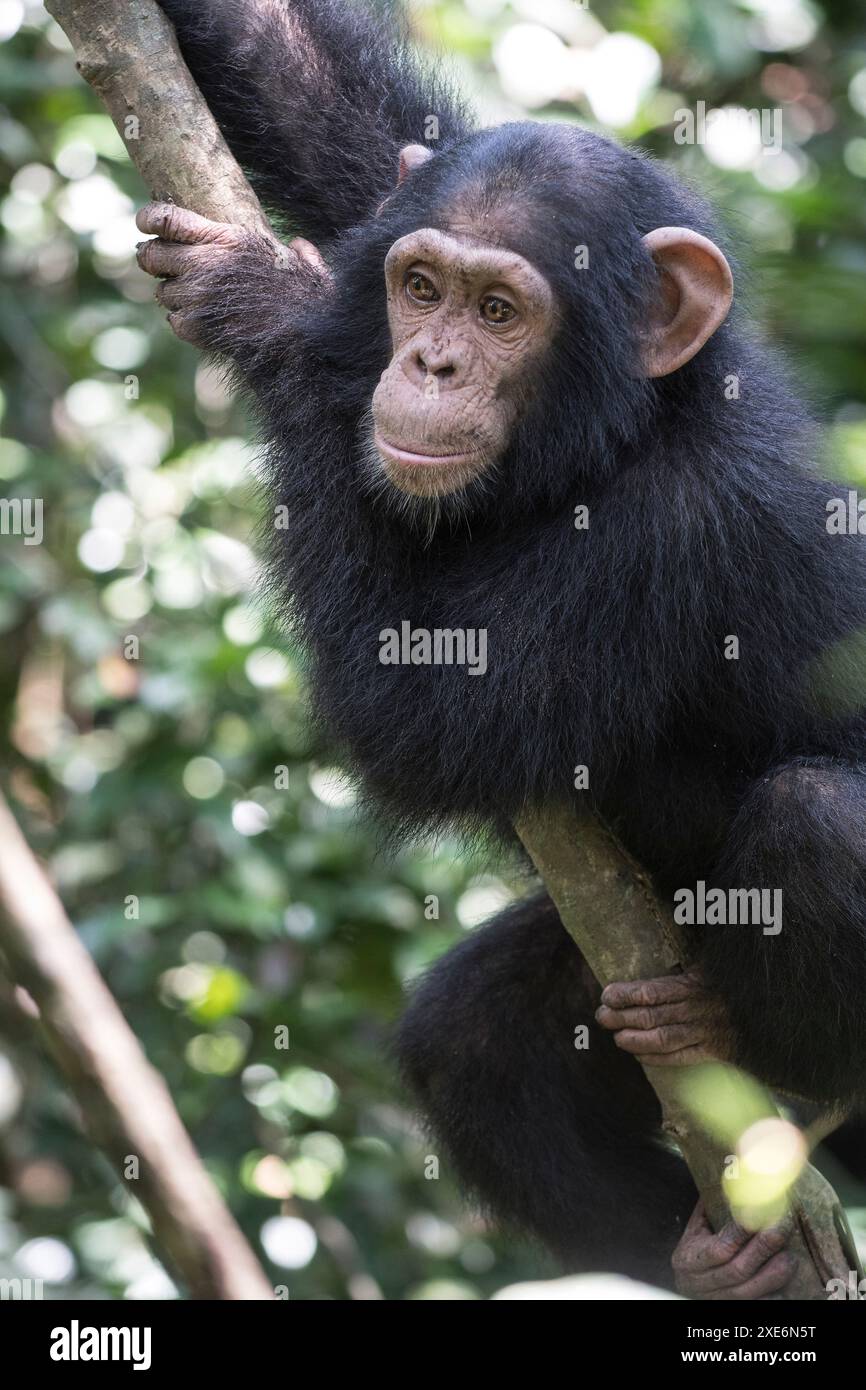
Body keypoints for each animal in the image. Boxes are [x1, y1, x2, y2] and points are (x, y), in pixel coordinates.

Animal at [139, 2, 866, 1301]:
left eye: (496, 313)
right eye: (419, 284)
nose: (425, 362)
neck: (617, 433)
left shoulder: (679, 530)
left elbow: (420, 710)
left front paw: (271, 314)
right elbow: (328, 110)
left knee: (821, 818)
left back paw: (792, 1087)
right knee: (466, 1038)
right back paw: (715, 1259)